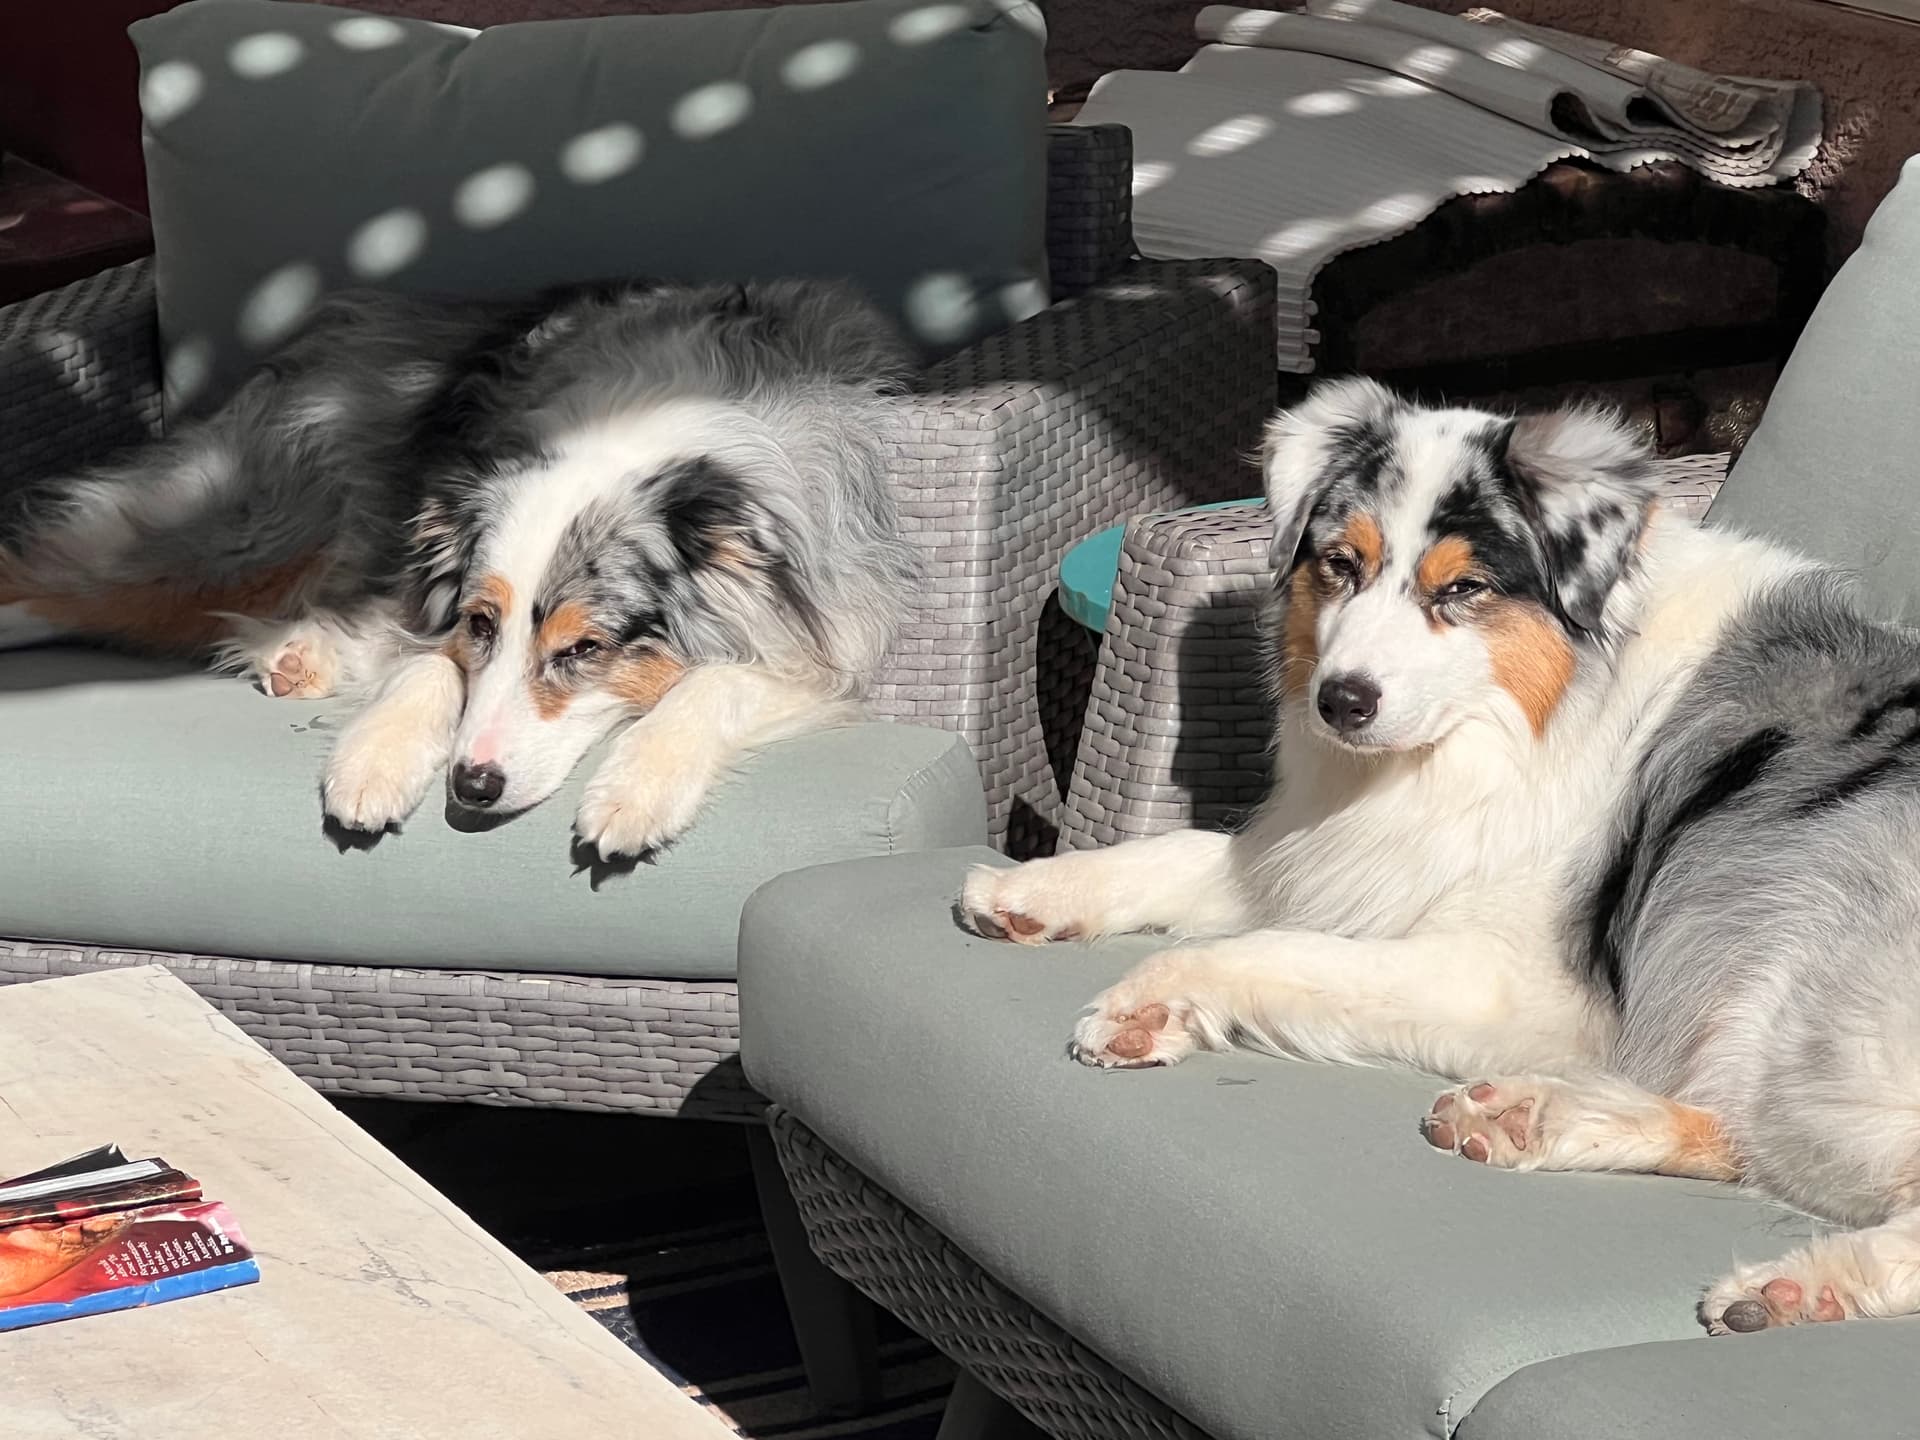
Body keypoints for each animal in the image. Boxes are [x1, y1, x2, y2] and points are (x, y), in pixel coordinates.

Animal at [0, 278, 917, 855]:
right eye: (482, 622)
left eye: (586, 649)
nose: (472, 786)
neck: (642, 424)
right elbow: (424, 661)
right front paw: (375, 758)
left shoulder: (830, 633)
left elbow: (716, 683)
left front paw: (635, 790)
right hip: (251, 530)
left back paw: (300, 655)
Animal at [963, 376, 1920, 1334]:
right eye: (1340, 564)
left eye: (1462, 587)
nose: (1341, 701)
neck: (1523, 718)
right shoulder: (1335, 857)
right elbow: (1185, 851)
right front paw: (1031, 888)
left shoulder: (1521, 983)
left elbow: (1275, 950)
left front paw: (1145, 1002)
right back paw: (1530, 1116)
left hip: (1817, 995)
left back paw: (1796, 1286)